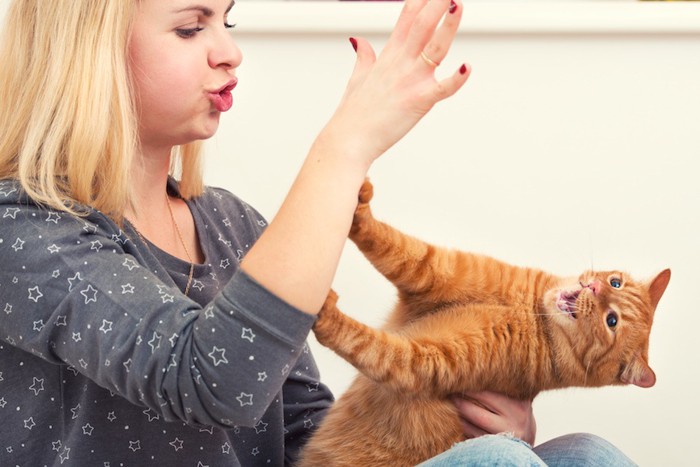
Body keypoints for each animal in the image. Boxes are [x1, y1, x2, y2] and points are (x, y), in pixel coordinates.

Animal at [300, 181, 668, 467]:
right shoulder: (432, 270)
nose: (594, 288)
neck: (530, 310)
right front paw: (359, 204)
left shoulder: (421, 363)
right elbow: (387, 241)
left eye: (612, 321)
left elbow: (367, 344)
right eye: (616, 282)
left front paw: (322, 311)